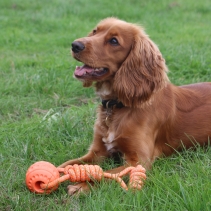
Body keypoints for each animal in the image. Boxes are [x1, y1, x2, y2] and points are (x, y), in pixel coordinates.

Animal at [59, 17, 211, 195]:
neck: (117, 106)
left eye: (114, 41)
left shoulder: (139, 160)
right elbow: (68, 163)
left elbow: (107, 173)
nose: (75, 45)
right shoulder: (97, 151)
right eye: (95, 31)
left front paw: (82, 186)